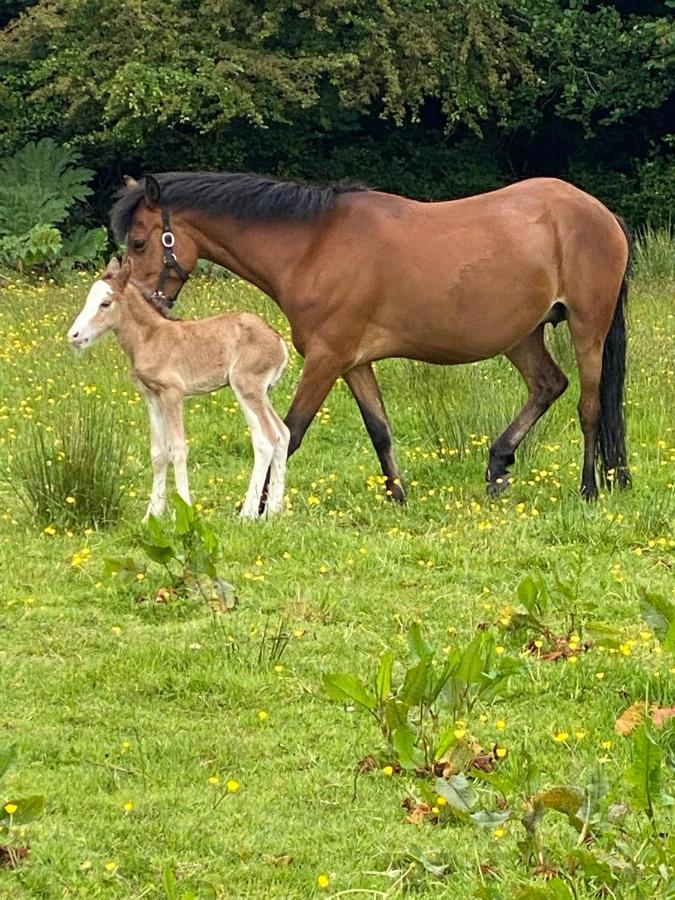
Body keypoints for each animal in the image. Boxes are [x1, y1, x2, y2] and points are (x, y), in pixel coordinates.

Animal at [67, 253, 290, 520]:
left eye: (105, 303)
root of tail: (280, 342)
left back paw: (247, 515)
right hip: (263, 392)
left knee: (266, 439)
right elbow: (158, 453)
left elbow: (178, 448)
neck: (150, 338)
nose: (74, 335)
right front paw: (151, 515)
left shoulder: (172, 392)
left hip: (246, 386)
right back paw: (272, 513)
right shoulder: (151, 396)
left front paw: (186, 509)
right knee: (283, 433)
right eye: (88, 299)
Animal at [112, 171, 632, 502]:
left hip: (588, 328)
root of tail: (600, 213)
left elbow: (289, 433)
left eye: (138, 242)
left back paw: (590, 488)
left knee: (589, 406)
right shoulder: (354, 363)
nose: (145, 307)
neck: (313, 246)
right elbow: (379, 430)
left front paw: (259, 506)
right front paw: (397, 495)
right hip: (521, 336)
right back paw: (499, 466)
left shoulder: (325, 360)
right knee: (548, 385)